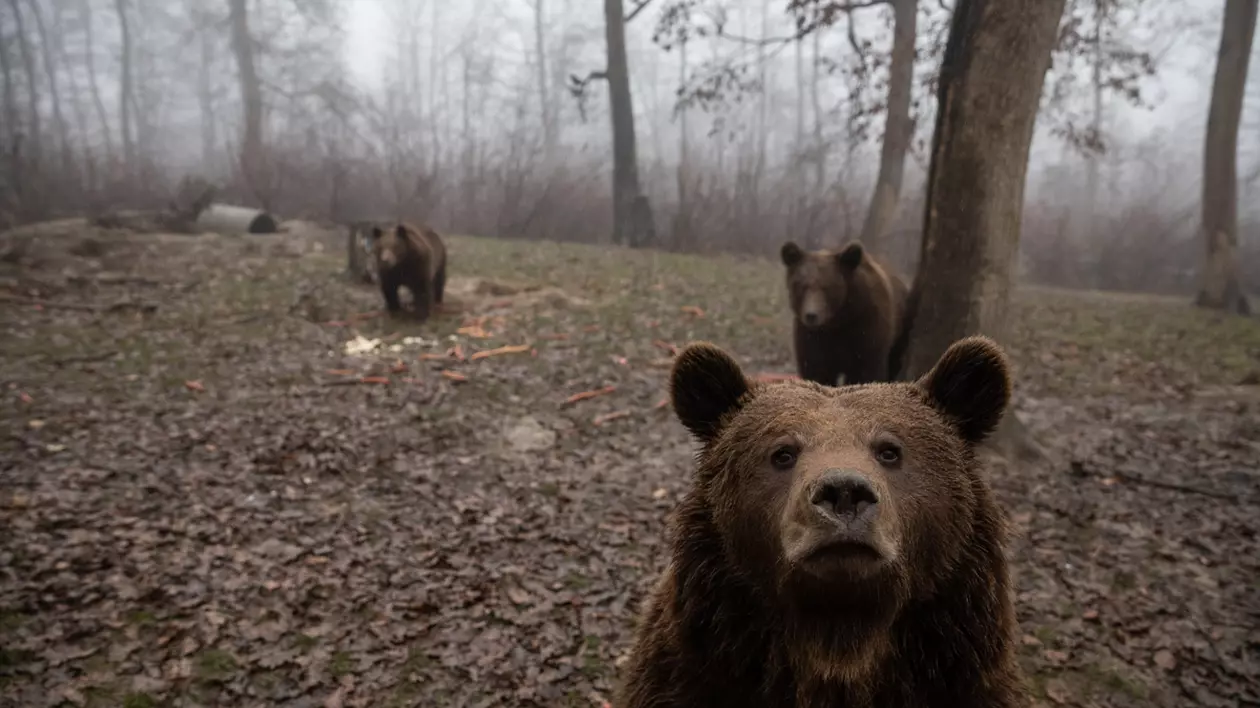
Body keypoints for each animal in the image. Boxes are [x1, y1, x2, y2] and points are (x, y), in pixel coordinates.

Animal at [776, 240, 907, 385]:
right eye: (802, 286)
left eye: (826, 287)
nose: (811, 315)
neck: (837, 320)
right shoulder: (811, 337)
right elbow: (816, 370)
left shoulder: (866, 324)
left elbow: (867, 369)